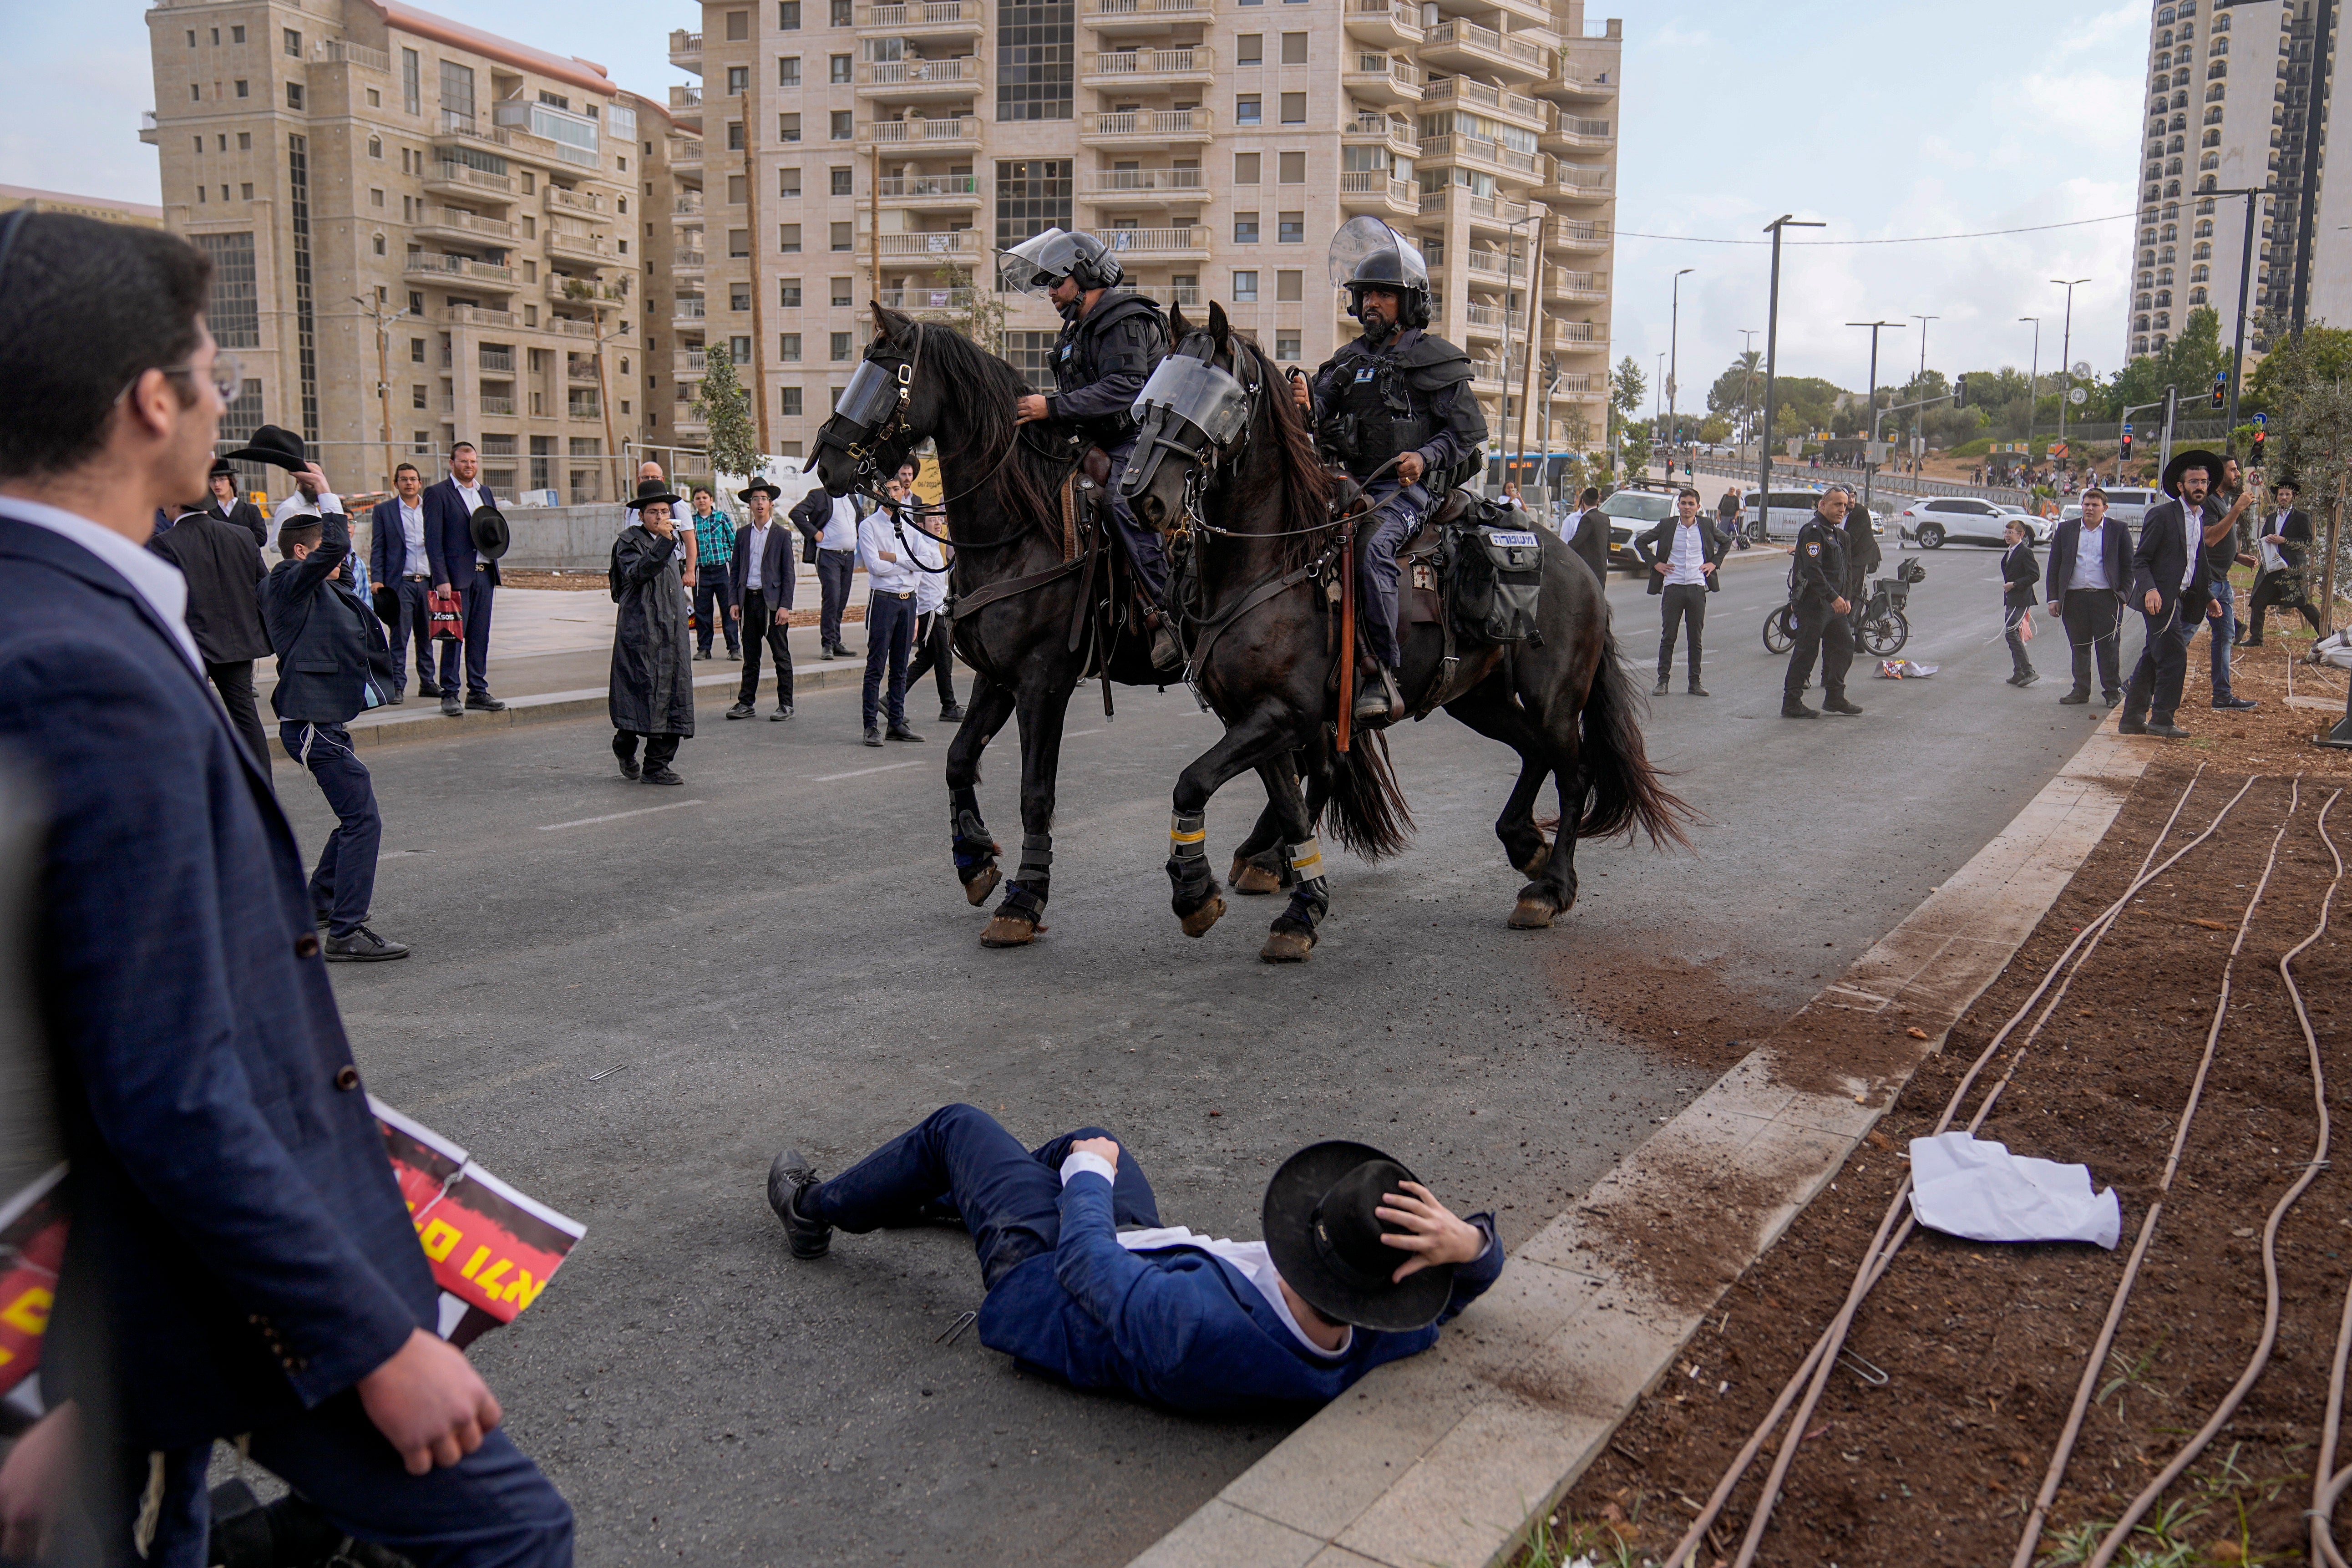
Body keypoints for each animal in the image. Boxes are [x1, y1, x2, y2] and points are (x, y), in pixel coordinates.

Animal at [809, 303, 1251, 945]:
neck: (1017, 531)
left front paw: (1023, 899)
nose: (828, 463)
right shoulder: (997, 679)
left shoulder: (1043, 685)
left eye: (888, 378)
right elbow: (958, 759)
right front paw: (974, 858)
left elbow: (1034, 794)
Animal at [1124, 301, 1693, 949]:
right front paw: (1300, 905)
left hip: (1553, 698)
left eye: (1215, 397)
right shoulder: (1254, 716)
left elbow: (1194, 781)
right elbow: (1287, 803)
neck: (1273, 557)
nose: (1142, 495)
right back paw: (1523, 842)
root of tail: (1578, 565)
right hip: (1476, 699)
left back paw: (1550, 888)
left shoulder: (1282, 714)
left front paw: (1196, 892)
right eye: (1156, 389)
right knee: (1534, 753)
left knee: (1573, 774)